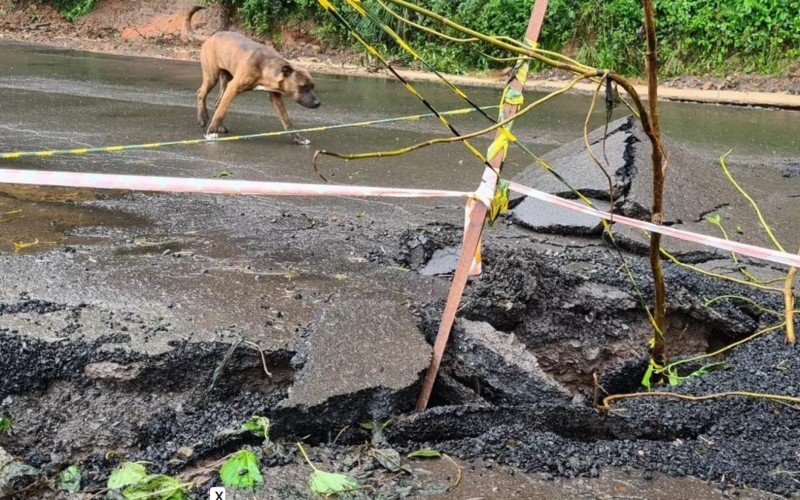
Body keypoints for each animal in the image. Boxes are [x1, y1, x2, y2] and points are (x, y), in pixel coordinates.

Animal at [183, 5, 320, 143]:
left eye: (313, 86)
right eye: (303, 87)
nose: (318, 103)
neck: (265, 66)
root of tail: (210, 37)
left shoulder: (275, 96)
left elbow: (286, 120)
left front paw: (297, 138)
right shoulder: (233, 88)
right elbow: (221, 112)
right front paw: (211, 132)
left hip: (225, 79)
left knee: (218, 102)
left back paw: (220, 126)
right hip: (212, 76)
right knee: (202, 93)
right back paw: (202, 118)